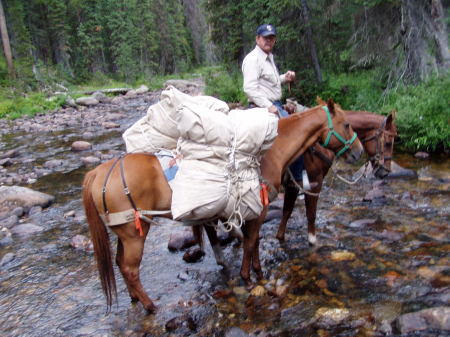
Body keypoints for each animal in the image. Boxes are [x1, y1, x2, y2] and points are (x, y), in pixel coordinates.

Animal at [80, 98, 362, 312]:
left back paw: (135, 299)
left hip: (123, 233)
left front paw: (258, 273)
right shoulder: (257, 210)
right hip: (134, 234)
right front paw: (248, 278)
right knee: (130, 269)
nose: (358, 151)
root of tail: (99, 173)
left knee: (119, 263)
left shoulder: (253, 211)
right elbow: (250, 242)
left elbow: (253, 242)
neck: (270, 152)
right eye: (347, 124)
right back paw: (150, 306)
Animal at [276, 106, 396, 243]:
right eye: (388, 143)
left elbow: (286, 213)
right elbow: (310, 214)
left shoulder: (293, 187)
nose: (385, 172)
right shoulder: (313, 183)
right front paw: (312, 241)